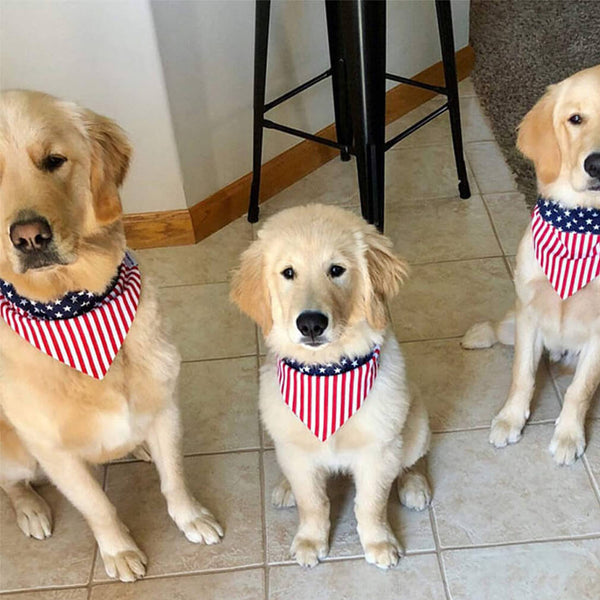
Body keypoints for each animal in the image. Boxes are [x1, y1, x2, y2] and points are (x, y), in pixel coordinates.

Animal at [0, 91, 223, 584]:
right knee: (14, 483)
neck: (76, 307)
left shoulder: (163, 405)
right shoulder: (54, 452)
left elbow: (174, 478)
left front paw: (191, 518)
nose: (29, 237)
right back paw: (31, 510)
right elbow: (97, 506)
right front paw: (119, 551)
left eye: (54, 160)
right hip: (15, 451)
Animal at [230, 204, 432, 568]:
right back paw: (285, 487)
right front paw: (311, 540)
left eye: (336, 270)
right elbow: (313, 502)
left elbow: (371, 505)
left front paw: (379, 542)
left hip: (415, 421)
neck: (327, 372)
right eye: (288, 273)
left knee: (413, 457)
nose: (311, 323)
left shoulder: (378, 450)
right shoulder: (298, 453)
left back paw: (413, 483)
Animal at [460, 64, 600, 464]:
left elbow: (580, 390)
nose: (597, 164)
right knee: (500, 329)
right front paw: (510, 420)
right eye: (575, 119)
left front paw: (569, 436)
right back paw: (478, 335)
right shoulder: (530, 311)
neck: (581, 224)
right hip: (516, 321)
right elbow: (521, 376)